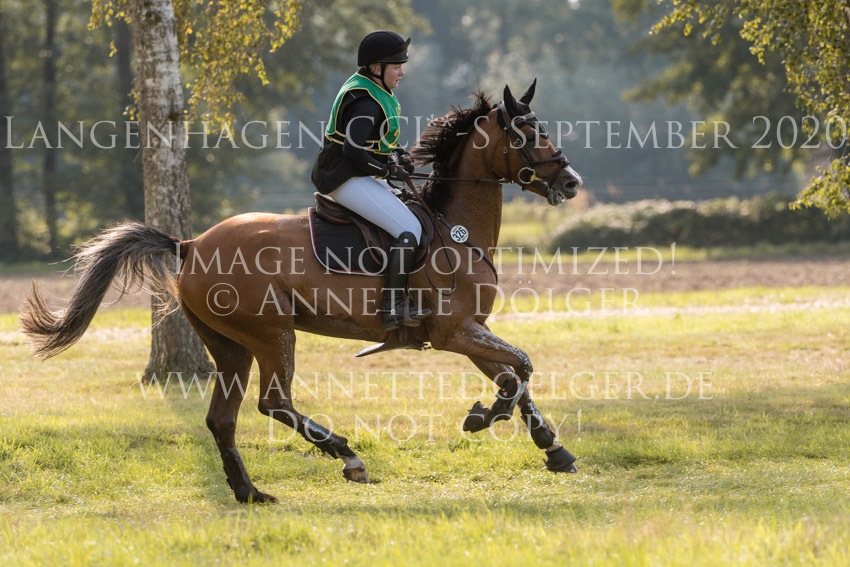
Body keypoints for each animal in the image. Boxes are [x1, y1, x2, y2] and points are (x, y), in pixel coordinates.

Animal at [20, 80, 583, 503]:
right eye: (527, 131)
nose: (572, 182)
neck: (454, 229)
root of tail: (191, 244)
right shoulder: (453, 332)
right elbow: (522, 367)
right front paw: (484, 418)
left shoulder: (471, 329)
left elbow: (513, 373)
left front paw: (550, 448)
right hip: (272, 333)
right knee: (274, 402)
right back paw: (348, 456)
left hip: (231, 345)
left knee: (222, 418)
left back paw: (250, 493)